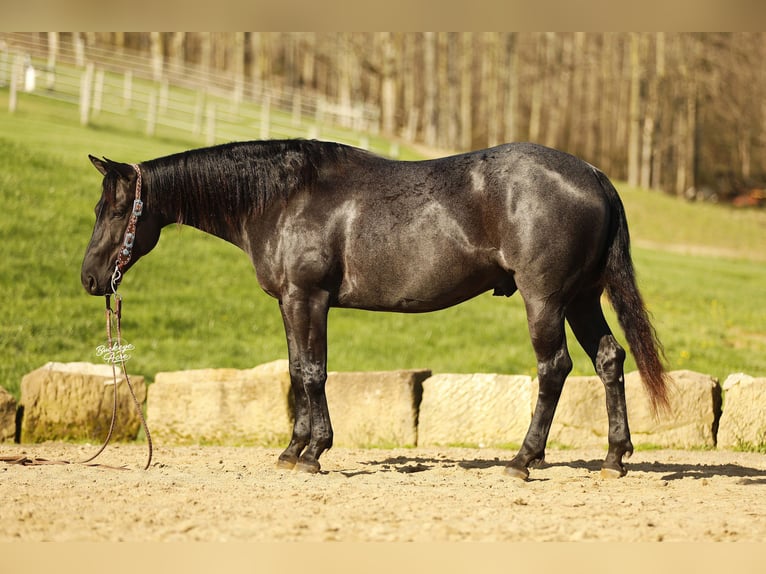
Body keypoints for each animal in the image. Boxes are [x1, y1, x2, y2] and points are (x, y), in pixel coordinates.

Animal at [81, 139, 670, 479]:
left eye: (113, 208)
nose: (90, 278)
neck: (284, 197)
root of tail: (593, 174)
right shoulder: (291, 303)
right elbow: (297, 371)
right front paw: (293, 450)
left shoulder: (308, 298)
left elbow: (314, 373)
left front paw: (314, 453)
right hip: (581, 298)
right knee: (609, 360)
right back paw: (614, 459)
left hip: (545, 299)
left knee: (555, 368)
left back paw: (523, 461)